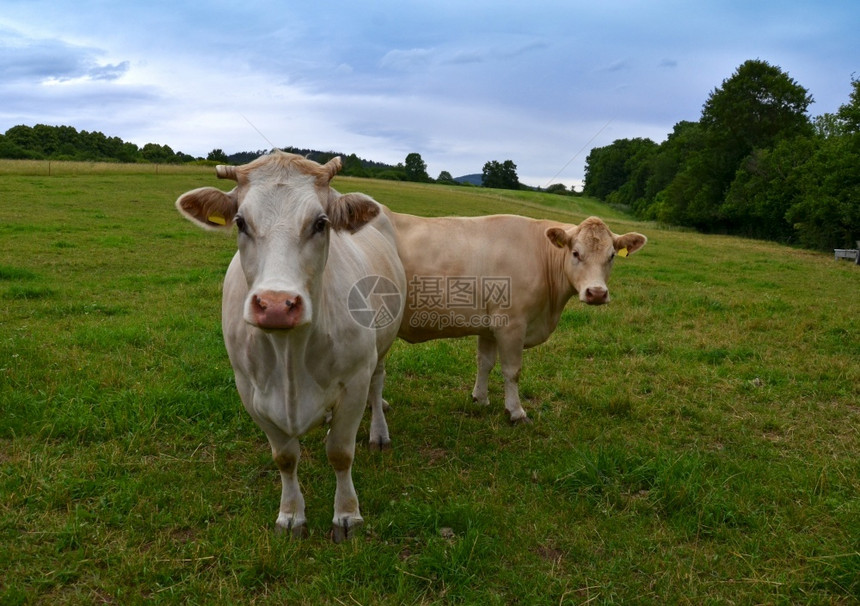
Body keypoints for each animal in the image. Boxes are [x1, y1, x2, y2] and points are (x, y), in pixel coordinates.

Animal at [176, 154, 404, 544]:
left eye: (320, 222)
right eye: (240, 222)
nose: (276, 305)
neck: (290, 354)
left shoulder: (356, 379)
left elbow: (340, 453)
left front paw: (347, 514)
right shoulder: (249, 391)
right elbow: (284, 458)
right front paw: (291, 515)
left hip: (381, 349)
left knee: (378, 385)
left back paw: (378, 432)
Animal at [382, 211, 644, 426]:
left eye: (612, 255)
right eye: (576, 253)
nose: (597, 293)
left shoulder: (488, 327)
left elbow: (485, 363)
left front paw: (480, 398)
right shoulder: (511, 324)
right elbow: (512, 370)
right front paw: (516, 412)